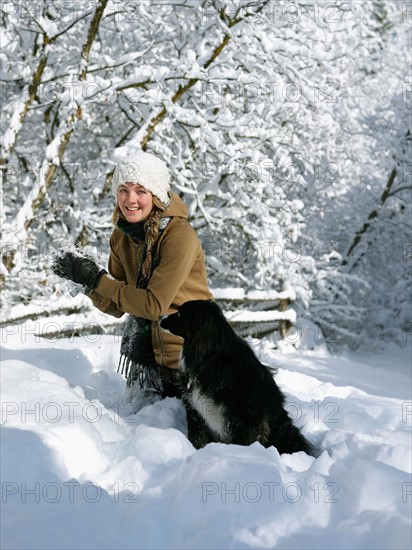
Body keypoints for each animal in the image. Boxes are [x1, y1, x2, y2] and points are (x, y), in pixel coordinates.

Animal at [160, 302, 312, 458]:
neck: (211, 356)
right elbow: (197, 438)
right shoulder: (196, 411)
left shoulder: (246, 419)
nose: (160, 318)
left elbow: (244, 441)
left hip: (287, 432)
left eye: (180, 313)